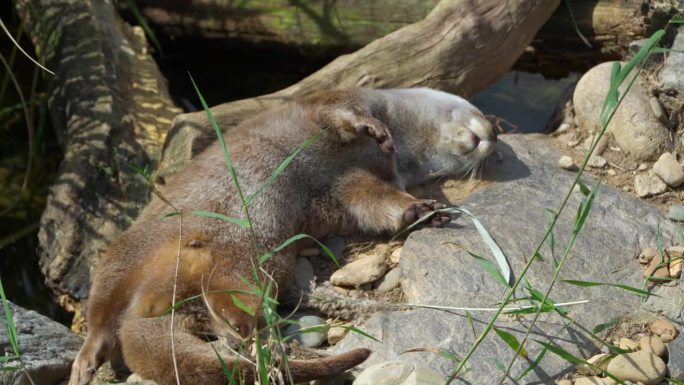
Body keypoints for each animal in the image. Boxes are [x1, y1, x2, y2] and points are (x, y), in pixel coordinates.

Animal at [68, 88, 496, 384]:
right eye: (479, 114)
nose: (490, 135)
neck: (401, 145)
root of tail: (148, 304)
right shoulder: (340, 100)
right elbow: (339, 112)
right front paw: (371, 128)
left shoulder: (360, 184)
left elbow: (376, 204)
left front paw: (424, 211)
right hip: (126, 253)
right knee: (100, 317)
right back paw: (84, 364)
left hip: (254, 264)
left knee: (225, 299)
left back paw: (237, 332)